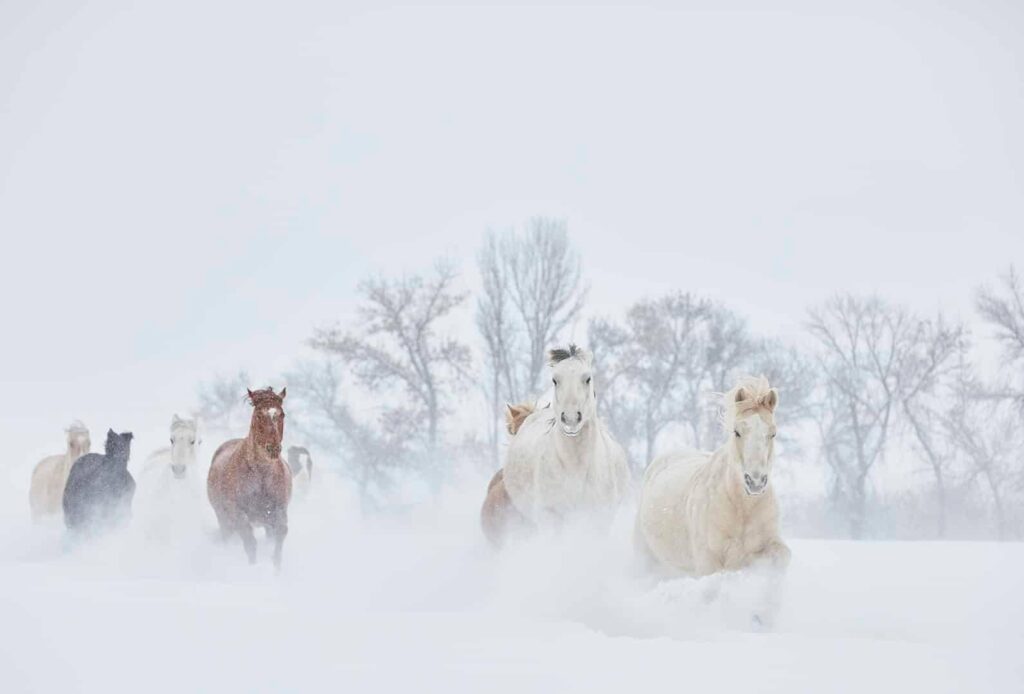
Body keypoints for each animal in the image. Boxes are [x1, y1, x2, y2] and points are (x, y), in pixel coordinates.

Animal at [205, 386, 290, 569]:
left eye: (282, 414)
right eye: (258, 415)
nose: (273, 449)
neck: (261, 478)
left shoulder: (278, 511)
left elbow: (280, 536)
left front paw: (276, 567)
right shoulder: (239, 515)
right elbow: (250, 544)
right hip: (223, 518)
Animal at [630, 378, 790, 577]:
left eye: (773, 433)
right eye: (737, 432)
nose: (755, 482)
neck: (742, 508)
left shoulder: (767, 544)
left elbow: (782, 557)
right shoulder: (709, 561)